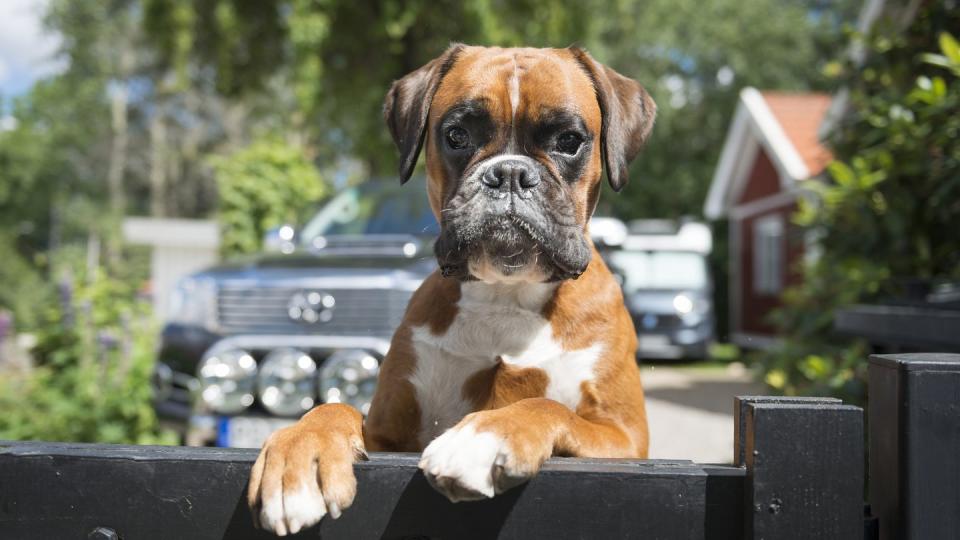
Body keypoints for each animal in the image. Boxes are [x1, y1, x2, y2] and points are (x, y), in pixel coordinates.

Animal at [248, 45, 652, 536]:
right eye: (457, 135)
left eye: (570, 140)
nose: (510, 173)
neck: (505, 295)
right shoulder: (388, 435)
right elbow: (335, 409)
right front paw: (299, 455)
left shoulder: (624, 436)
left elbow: (547, 406)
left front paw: (484, 435)